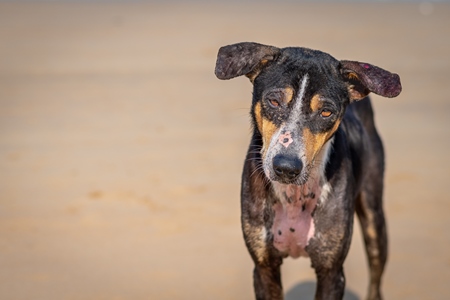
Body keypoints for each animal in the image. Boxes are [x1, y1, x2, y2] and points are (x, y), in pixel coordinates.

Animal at [214, 42, 400, 300]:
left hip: (374, 219)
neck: (294, 195)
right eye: (274, 101)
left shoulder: (331, 272)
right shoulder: (264, 267)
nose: (286, 167)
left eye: (326, 112)